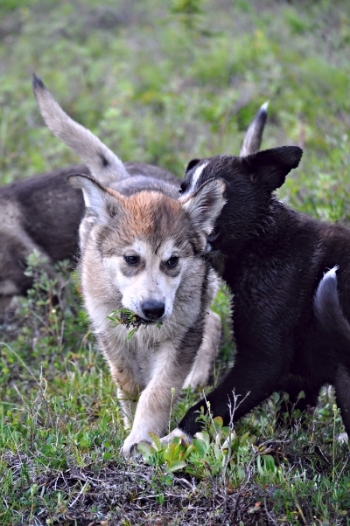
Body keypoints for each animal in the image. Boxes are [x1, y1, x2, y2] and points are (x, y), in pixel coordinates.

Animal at [165, 146, 350, 444]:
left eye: (215, 195)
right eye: (182, 189)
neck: (262, 242)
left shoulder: (263, 360)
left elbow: (206, 407)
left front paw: (166, 442)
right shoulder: (301, 379)